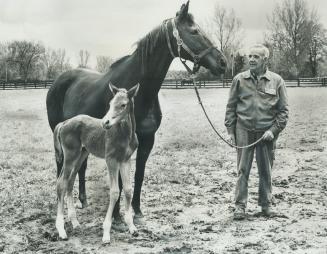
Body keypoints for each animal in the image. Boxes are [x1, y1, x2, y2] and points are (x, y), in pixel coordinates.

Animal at [46, 0, 227, 220]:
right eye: (194, 31)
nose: (223, 63)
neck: (139, 91)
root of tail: (58, 81)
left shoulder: (148, 139)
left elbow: (138, 175)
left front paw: (137, 209)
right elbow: (119, 179)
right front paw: (116, 214)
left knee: (80, 167)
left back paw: (83, 200)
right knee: (62, 166)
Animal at [53, 83, 140, 244]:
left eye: (123, 105)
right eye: (110, 103)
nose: (105, 123)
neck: (125, 135)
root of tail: (64, 123)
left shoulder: (125, 160)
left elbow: (128, 190)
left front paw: (132, 227)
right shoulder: (111, 159)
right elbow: (115, 191)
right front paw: (106, 233)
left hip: (82, 154)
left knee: (70, 181)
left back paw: (75, 222)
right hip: (70, 155)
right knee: (61, 182)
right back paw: (61, 230)